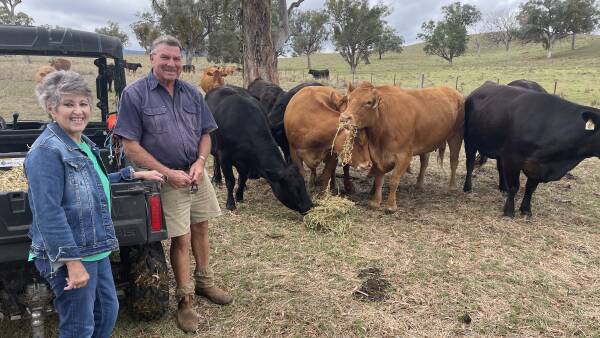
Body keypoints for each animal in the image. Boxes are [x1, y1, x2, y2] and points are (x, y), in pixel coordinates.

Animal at [338, 81, 464, 213]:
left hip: (456, 136)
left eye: (368, 102)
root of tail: (453, 91)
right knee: (424, 162)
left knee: (454, 161)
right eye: (349, 99)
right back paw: (419, 184)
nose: (344, 118)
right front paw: (375, 202)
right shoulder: (376, 155)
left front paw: (391, 206)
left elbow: (394, 180)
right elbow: (378, 180)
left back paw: (452, 186)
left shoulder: (404, 156)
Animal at [464, 83, 600, 218]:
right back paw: (468, 188)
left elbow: (530, 188)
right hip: (470, 141)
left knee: (500, 168)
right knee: (470, 164)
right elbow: (514, 186)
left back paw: (503, 187)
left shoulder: (537, 167)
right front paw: (509, 211)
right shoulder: (512, 158)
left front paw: (526, 209)